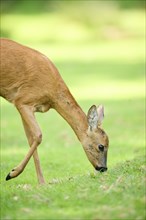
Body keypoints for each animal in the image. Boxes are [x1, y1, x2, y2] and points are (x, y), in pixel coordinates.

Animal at [0, 38, 109, 185]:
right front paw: (12, 173)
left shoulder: (26, 106)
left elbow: (31, 138)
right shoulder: (22, 100)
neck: (52, 95)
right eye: (101, 146)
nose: (103, 168)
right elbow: (38, 135)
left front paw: (41, 183)